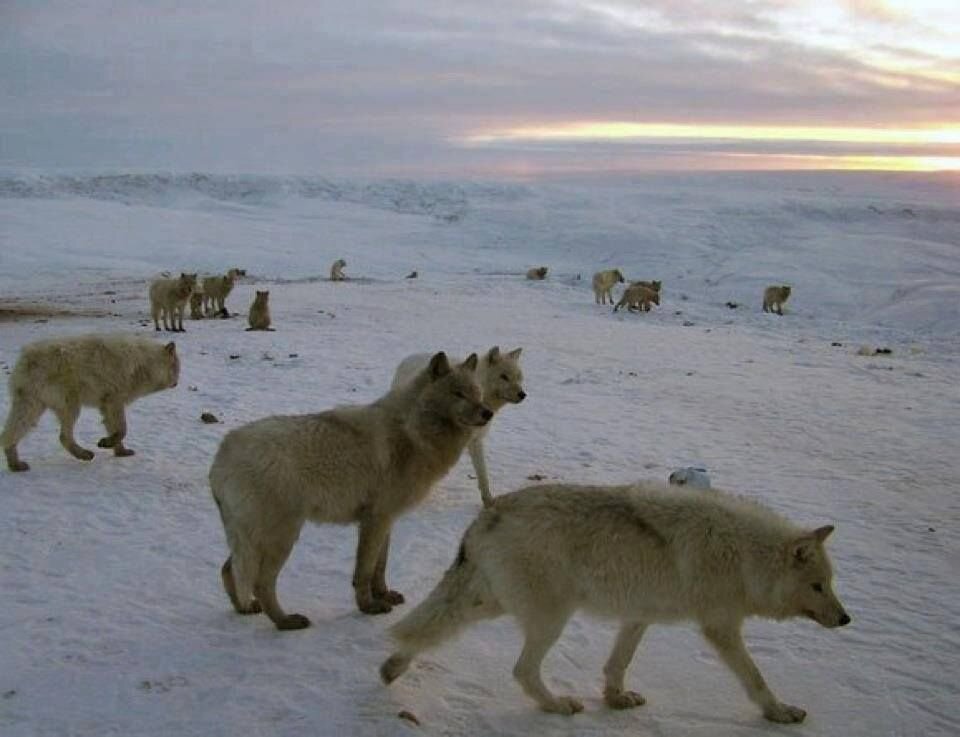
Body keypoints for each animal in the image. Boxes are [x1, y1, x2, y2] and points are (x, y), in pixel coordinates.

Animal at [1, 334, 180, 472]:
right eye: (176, 369)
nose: (177, 382)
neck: (144, 364)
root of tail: (26, 359)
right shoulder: (114, 401)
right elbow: (122, 430)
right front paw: (106, 443)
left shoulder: (107, 405)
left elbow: (116, 430)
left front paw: (120, 451)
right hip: (69, 405)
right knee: (63, 436)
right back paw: (84, 454)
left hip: (33, 406)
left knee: (12, 434)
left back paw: (15, 464)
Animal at [211, 350, 496, 628]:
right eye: (458, 393)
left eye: (477, 392)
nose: (487, 413)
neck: (413, 430)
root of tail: (223, 454)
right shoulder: (375, 520)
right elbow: (364, 571)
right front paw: (368, 607)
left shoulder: (385, 520)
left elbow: (380, 567)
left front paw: (384, 595)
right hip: (282, 538)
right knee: (260, 583)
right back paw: (285, 621)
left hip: (252, 541)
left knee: (228, 570)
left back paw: (245, 609)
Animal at [378, 480, 852, 720]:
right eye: (817, 586)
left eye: (830, 583)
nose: (846, 618)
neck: (744, 557)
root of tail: (487, 513)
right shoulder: (720, 628)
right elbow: (755, 677)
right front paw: (779, 711)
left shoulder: (639, 616)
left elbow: (617, 664)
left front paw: (615, 699)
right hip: (551, 619)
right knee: (522, 670)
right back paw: (557, 705)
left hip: (493, 603)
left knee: (427, 628)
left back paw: (393, 666)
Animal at [390, 344, 524, 506]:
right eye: (504, 376)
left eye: (518, 377)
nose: (523, 394)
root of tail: (407, 358)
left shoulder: (476, 441)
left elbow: (483, 474)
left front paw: (488, 500)